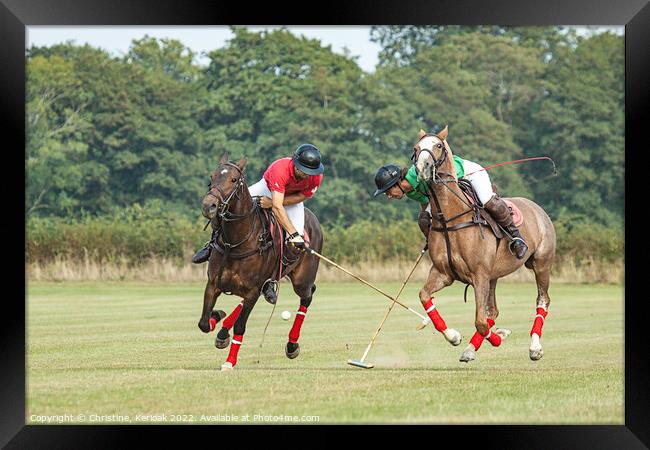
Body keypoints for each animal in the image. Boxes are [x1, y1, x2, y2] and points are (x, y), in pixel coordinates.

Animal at [196, 153, 320, 370]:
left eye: (234, 180)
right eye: (212, 177)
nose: (208, 206)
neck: (235, 242)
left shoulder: (253, 290)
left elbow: (240, 327)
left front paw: (229, 362)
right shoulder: (213, 284)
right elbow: (203, 323)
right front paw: (217, 316)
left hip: (301, 281)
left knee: (308, 295)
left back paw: (292, 345)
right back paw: (222, 332)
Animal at [412, 126, 556, 362]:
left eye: (438, 145)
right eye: (416, 148)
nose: (422, 168)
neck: (450, 220)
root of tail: (537, 207)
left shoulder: (479, 275)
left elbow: (480, 322)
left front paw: (498, 337)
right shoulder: (443, 273)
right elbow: (424, 296)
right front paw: (454, 336)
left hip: (542, 263)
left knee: (542, 300)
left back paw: (535, 347)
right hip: (494, 276)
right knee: (493, 310)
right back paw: (474, 346)